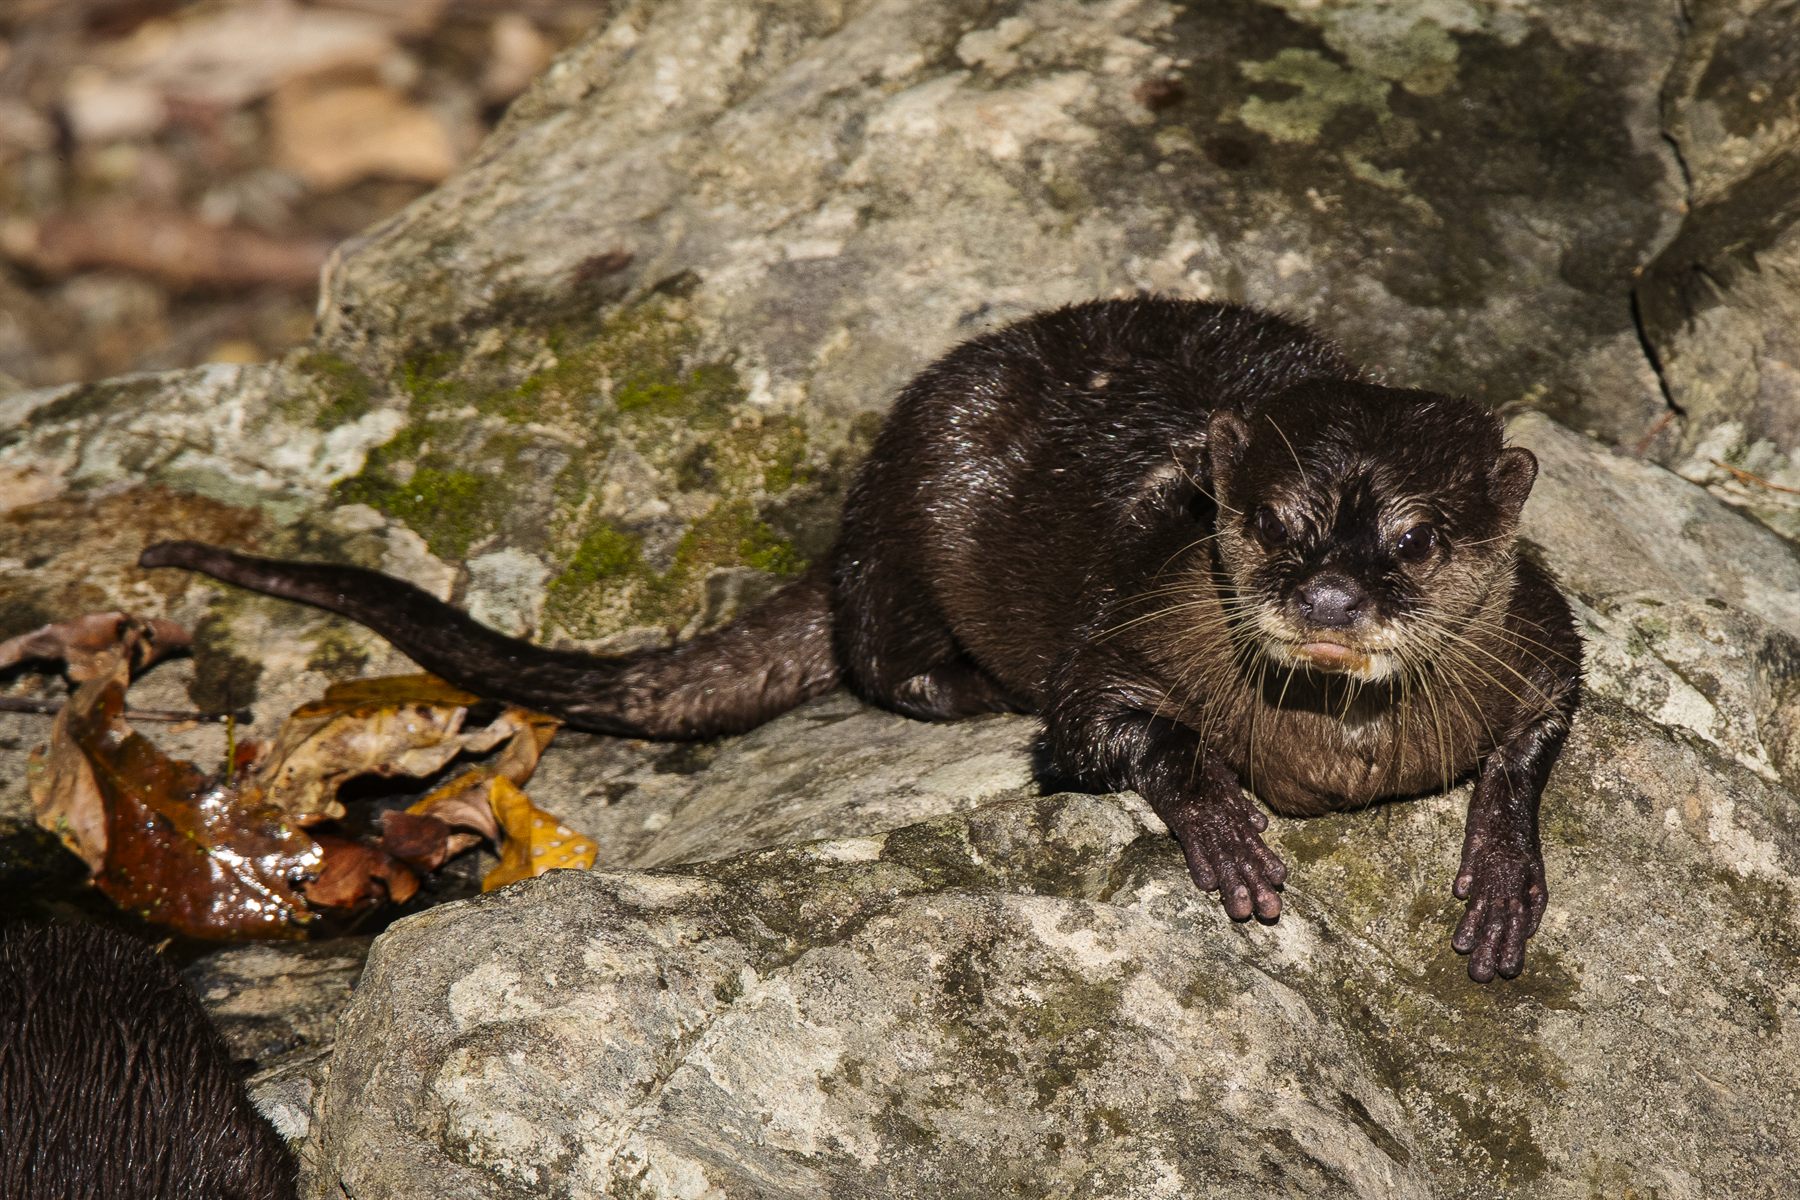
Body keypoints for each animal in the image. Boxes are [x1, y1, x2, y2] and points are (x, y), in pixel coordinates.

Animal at [141, 297, 1581, 982]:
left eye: (1413, 541)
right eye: (1274, 525)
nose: (1329, 601)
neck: (1340, 755)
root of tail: (855, 499)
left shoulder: (1540, 628)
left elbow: (1549, 721)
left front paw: (1504, 874)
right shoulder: (1124, 626)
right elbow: (1101, 724)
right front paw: (1221, 816)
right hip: (918, 501)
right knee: (877, 647)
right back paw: (960, 684)